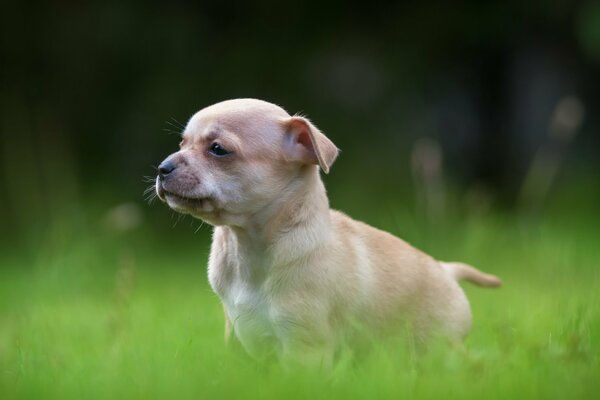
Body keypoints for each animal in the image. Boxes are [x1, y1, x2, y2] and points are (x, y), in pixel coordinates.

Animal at [156, 98, 502, 368]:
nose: (162, 168)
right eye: (181, 145)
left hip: (439, 347)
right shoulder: (238, 336)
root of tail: (447, 270)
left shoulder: (303, 347)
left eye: (218, 150)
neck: (248, 246)